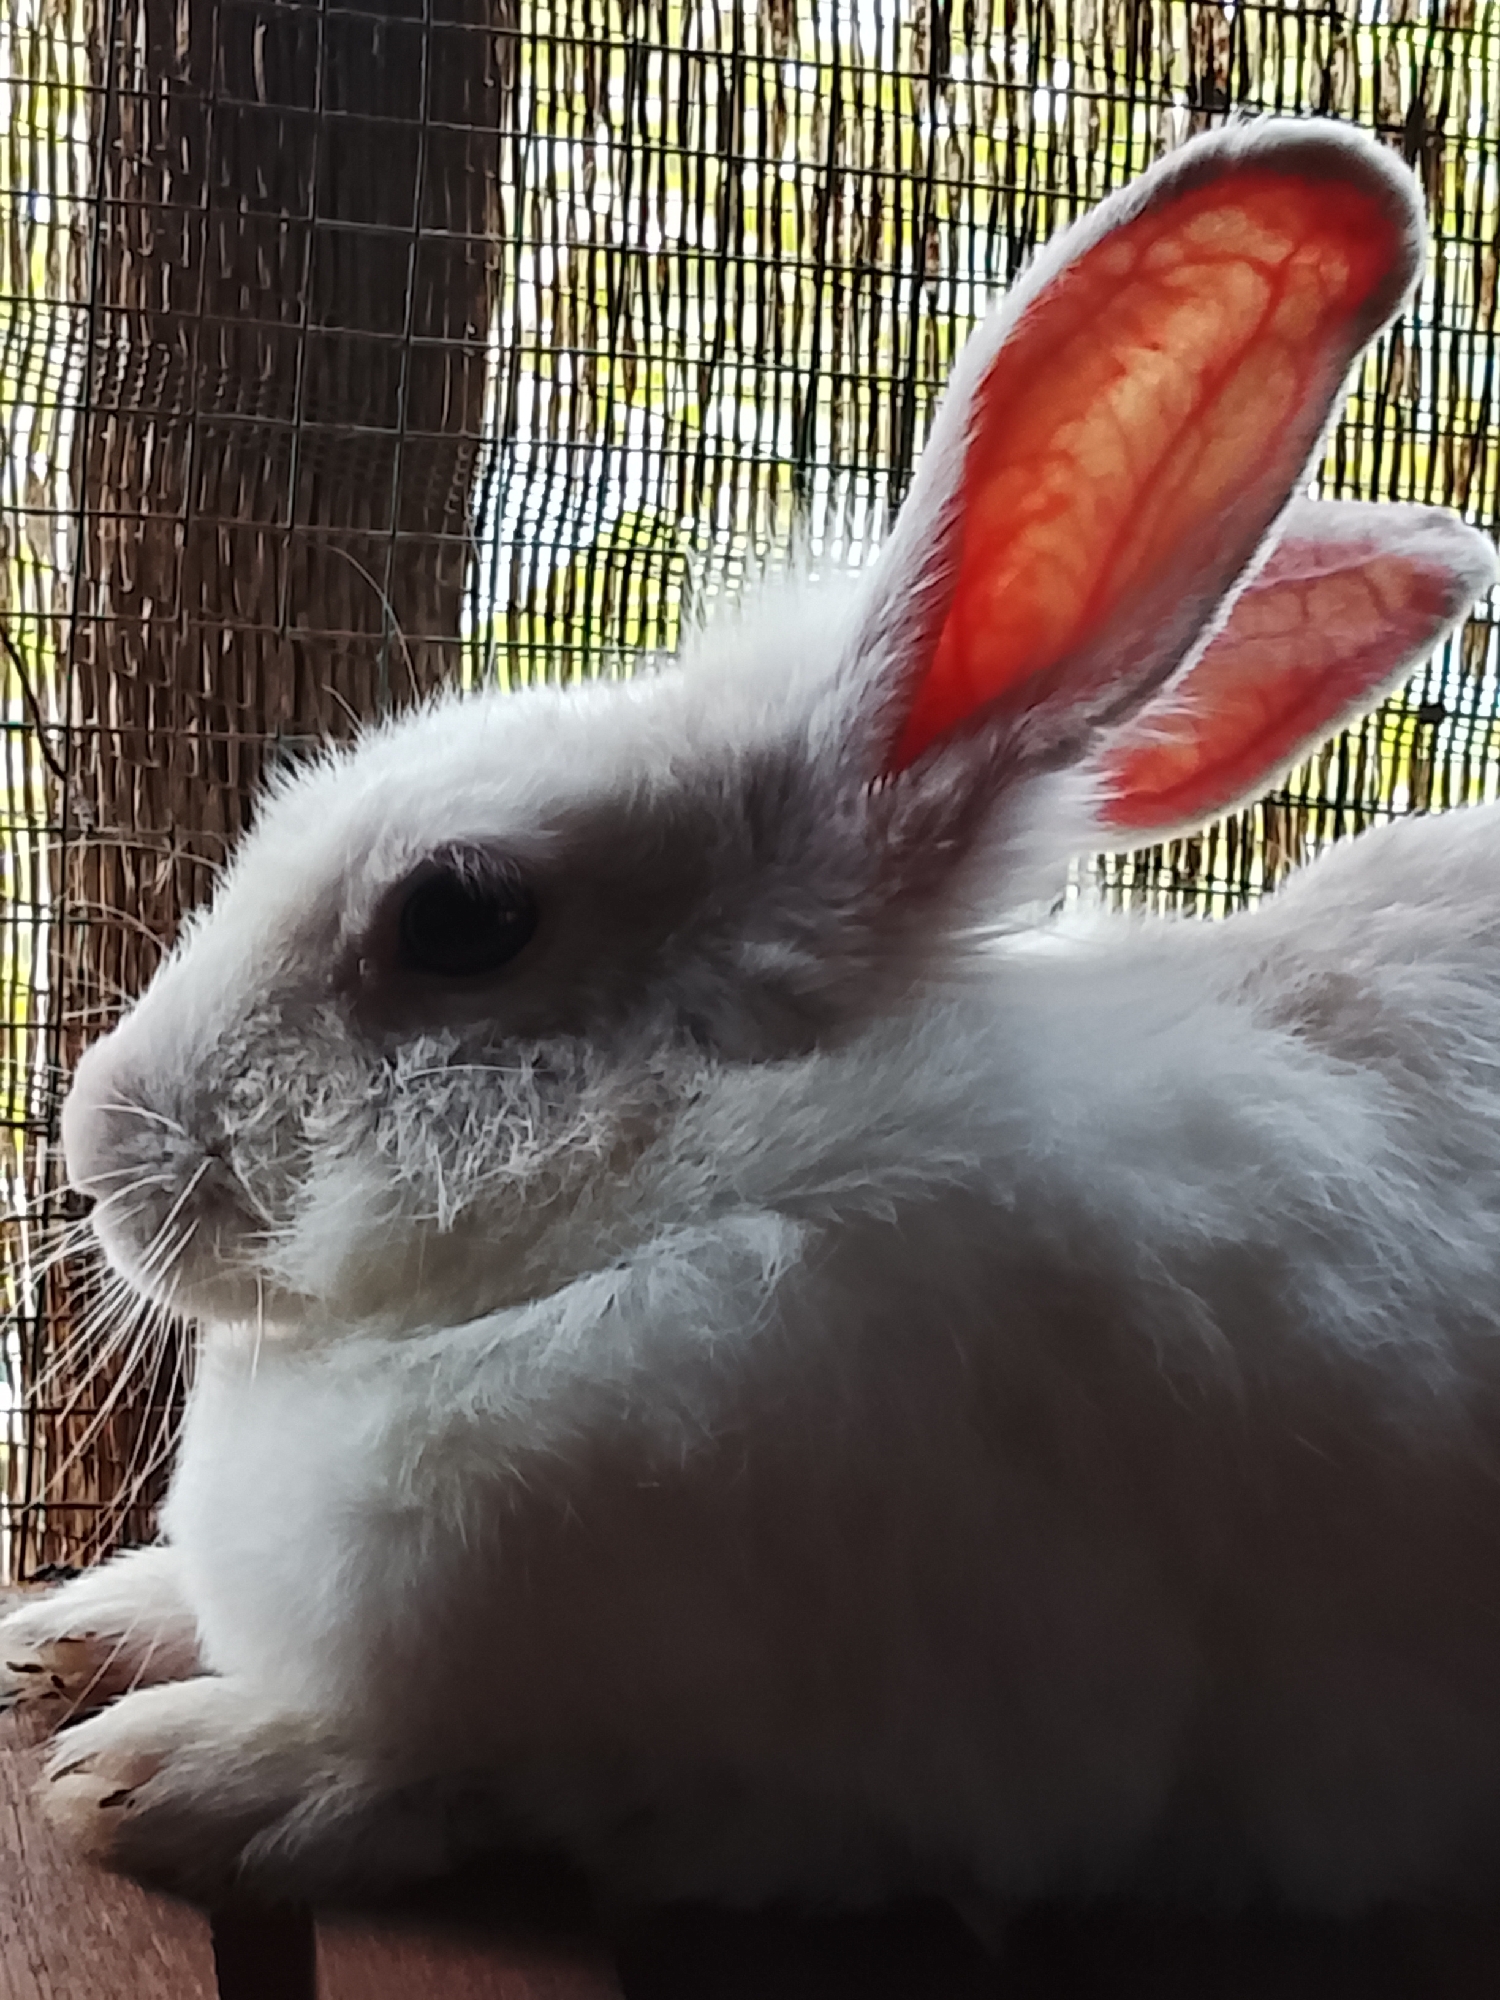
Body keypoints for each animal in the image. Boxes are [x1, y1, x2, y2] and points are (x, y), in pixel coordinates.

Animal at [6, 116, 1500, 1918]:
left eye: (459, 917)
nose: (91, 1137)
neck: (718, 1179)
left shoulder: (888, 1768)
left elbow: (458, 1771)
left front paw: (172, 1773)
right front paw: (79, 1627)